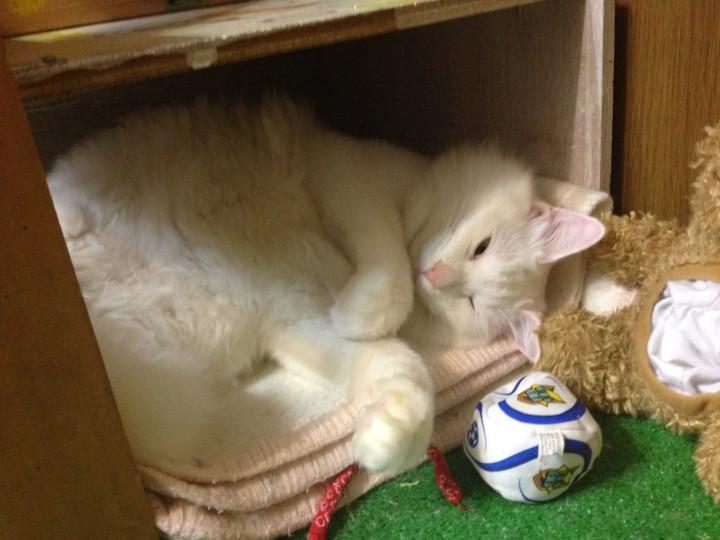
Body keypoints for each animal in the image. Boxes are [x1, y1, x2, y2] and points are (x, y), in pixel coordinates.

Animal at [47, 95, 604, 473]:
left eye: (467, 303)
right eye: (481, 247)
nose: (434, 276)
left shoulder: (300, 323)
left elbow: (404, 372)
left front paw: (385, 442)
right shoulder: (348, 177)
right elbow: (388, 259)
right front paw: (366, 310)